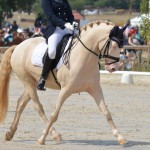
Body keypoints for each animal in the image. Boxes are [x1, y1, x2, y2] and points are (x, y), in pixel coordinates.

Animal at [0, 20, 128, 145]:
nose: (113, 68)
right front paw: (42, 139)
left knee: (21, 103)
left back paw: (10, 133)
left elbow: (106, 112)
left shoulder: (95, 89)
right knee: (38, 107)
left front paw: (120, 137)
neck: (84, 57)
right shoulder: (65, 90)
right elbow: (54, 115)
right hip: (27, 81)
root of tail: (18, 46)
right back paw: (55, 135)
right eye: (114, 45)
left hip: (32, 82)